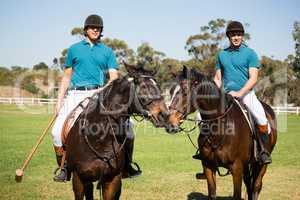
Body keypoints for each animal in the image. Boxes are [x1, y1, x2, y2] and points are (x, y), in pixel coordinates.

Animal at [65, 63, 169, 200]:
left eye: (158, 87)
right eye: (143, 87)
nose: (164, 115)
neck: (99, 138)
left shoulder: (112, 180)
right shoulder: (79, 179)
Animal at [166, 67, 276, 200]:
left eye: (185, 91)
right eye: (171, 92)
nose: (169, 123)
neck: (219, 129)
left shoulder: (236, 167)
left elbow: (237, 195)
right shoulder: (208, 166)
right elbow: (212, 194)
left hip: (261, 165)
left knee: (256, 186)